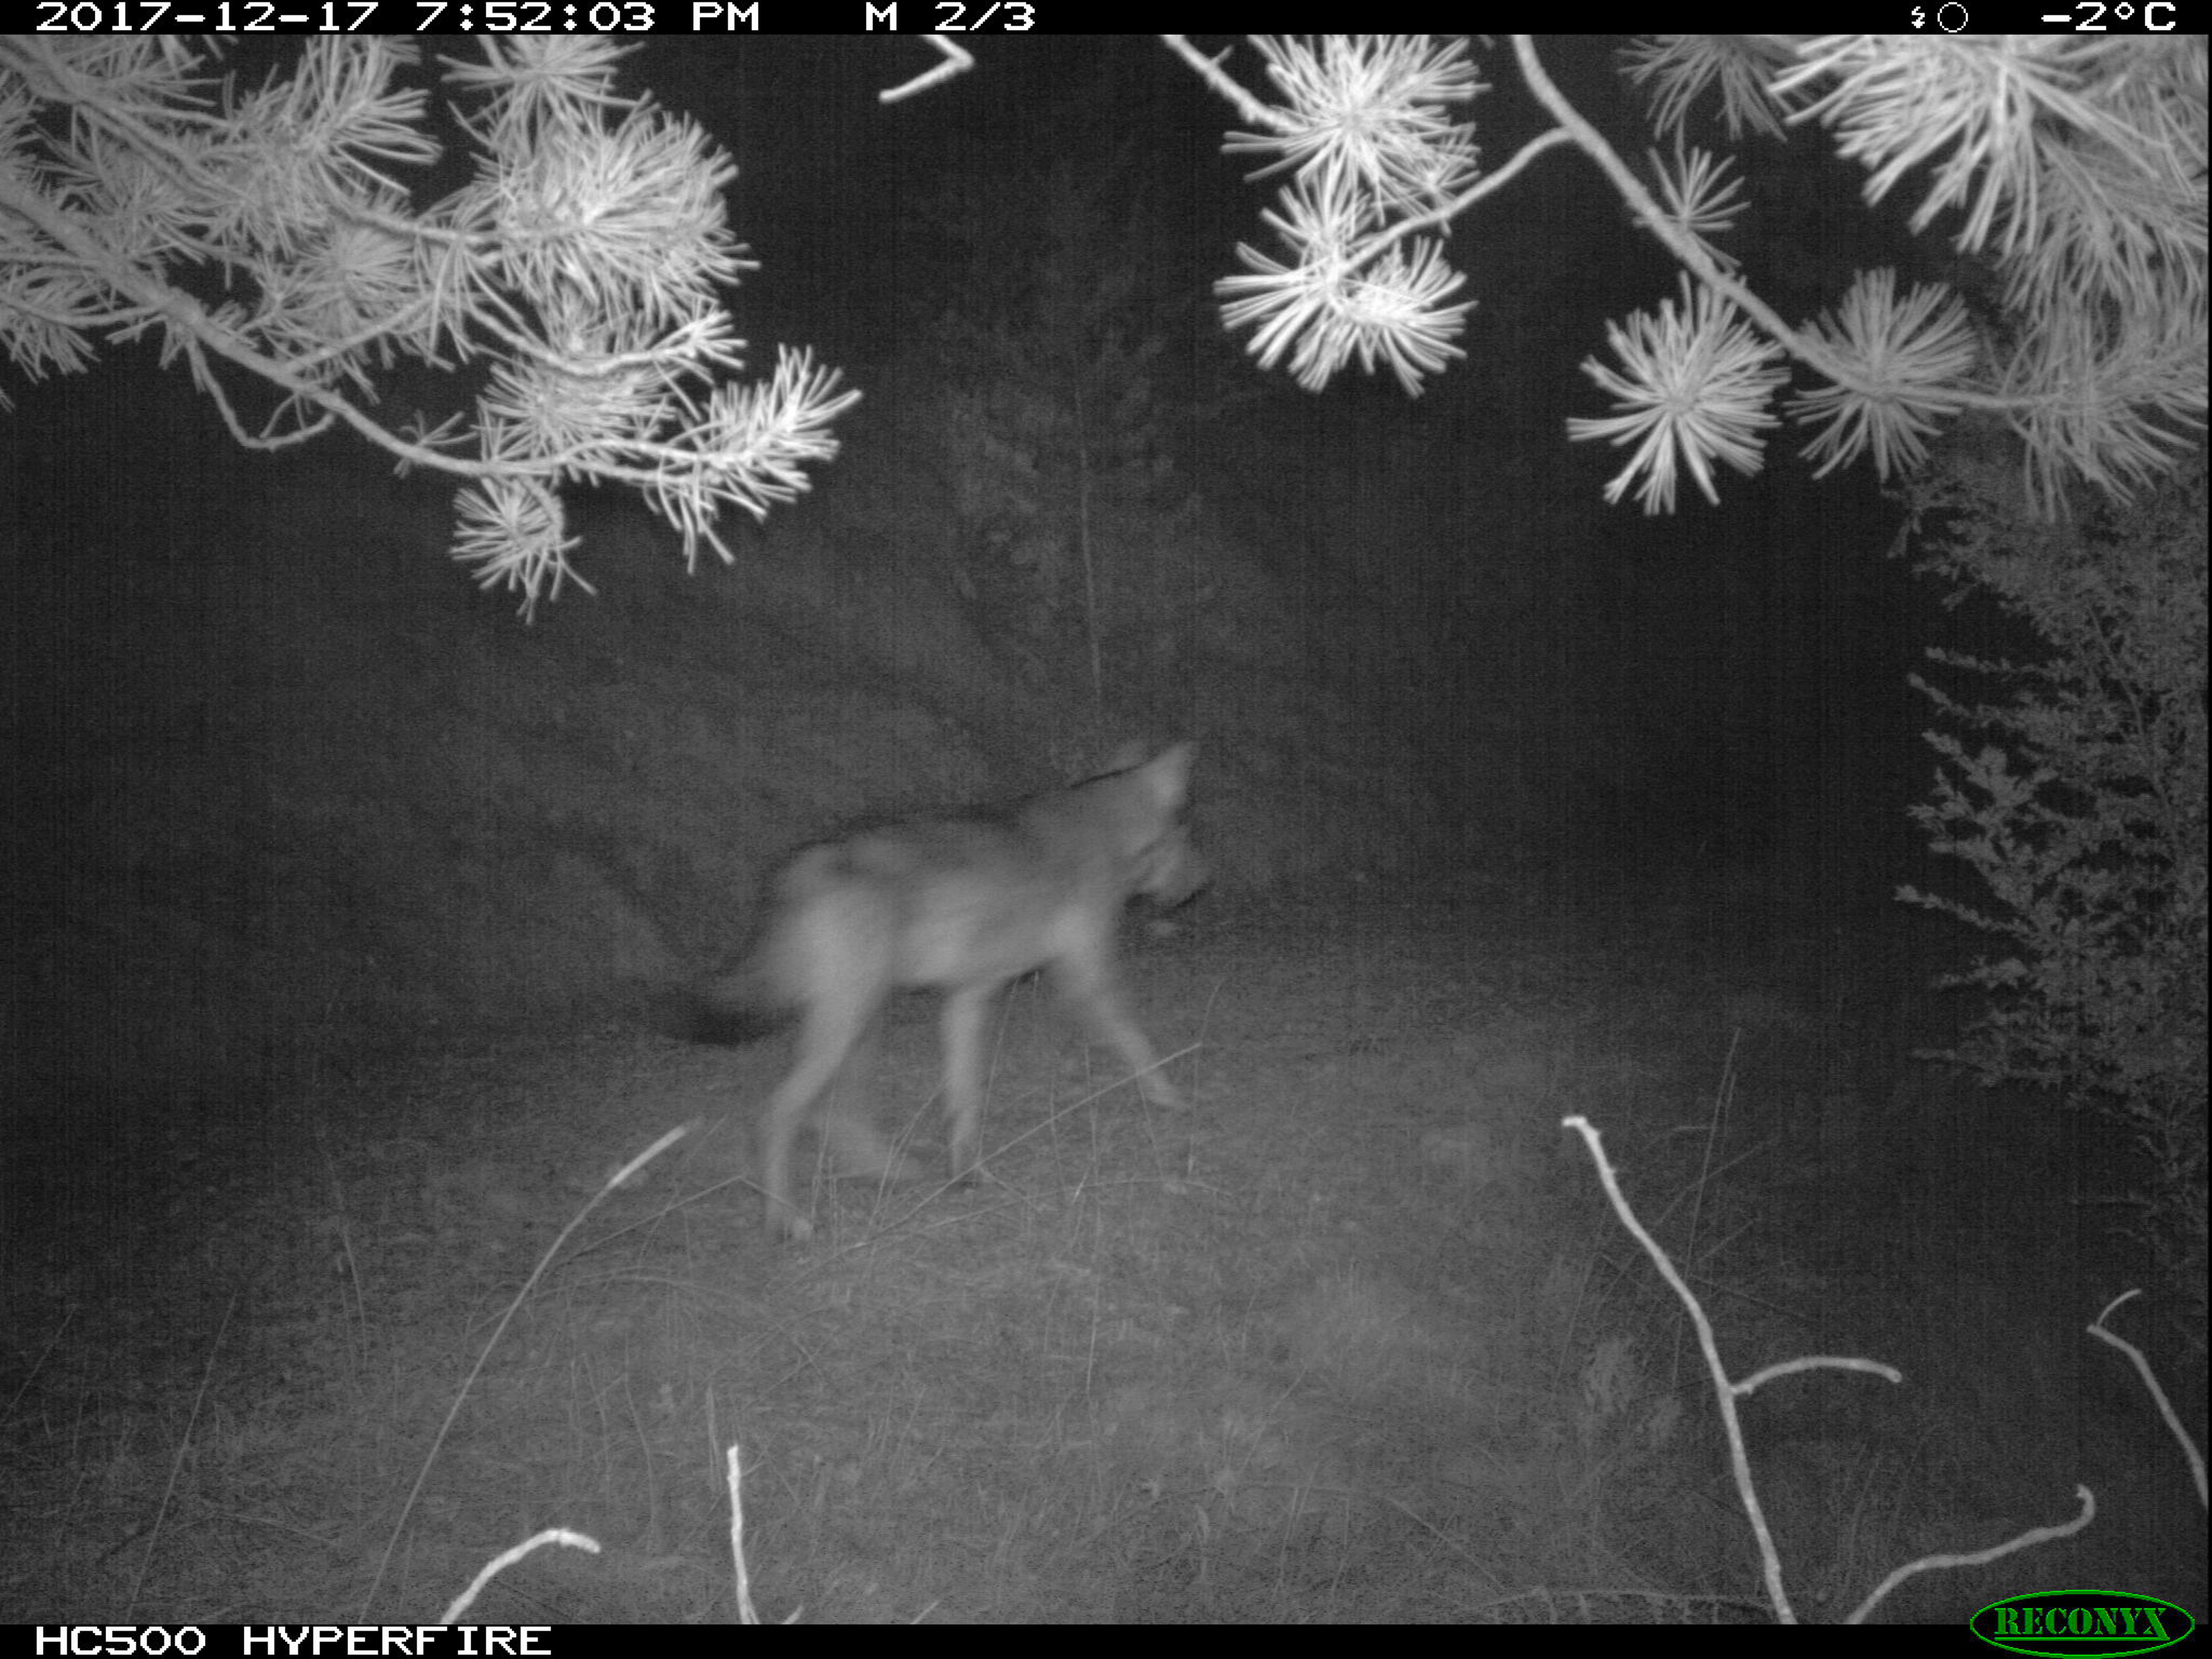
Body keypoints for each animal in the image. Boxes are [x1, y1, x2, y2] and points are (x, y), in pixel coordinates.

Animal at [677, 747, 1212, 1239]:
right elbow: (1137, 1042)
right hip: (850, 1019)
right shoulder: (1084, 981)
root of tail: (806, 865)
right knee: (778, 1113)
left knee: (836, 1111)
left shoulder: (968, 998)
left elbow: (964, 1097)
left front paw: (968, 1173)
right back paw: (787, 1219)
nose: (1203, 883)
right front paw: (1171, 1097)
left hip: (862, 1017)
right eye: (1189, 836)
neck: (1105, 828)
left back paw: (892, 1170)